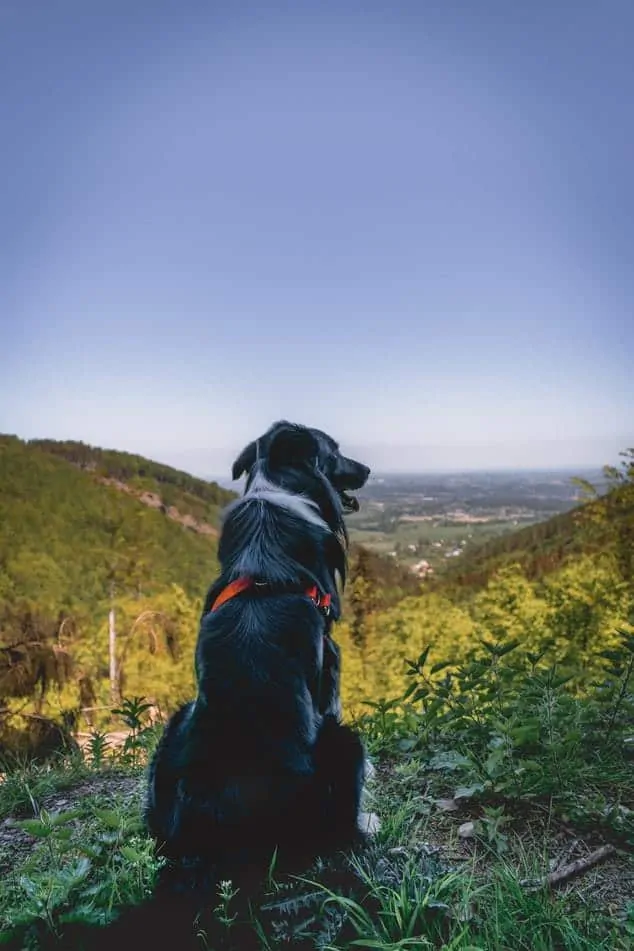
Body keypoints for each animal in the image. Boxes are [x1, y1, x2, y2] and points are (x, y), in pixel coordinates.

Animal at [143, 420, 370, 896]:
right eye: (335, 451)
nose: (367, 470)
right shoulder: (330, 658)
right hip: (345, 742)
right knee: (341, 831)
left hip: (173, 728)